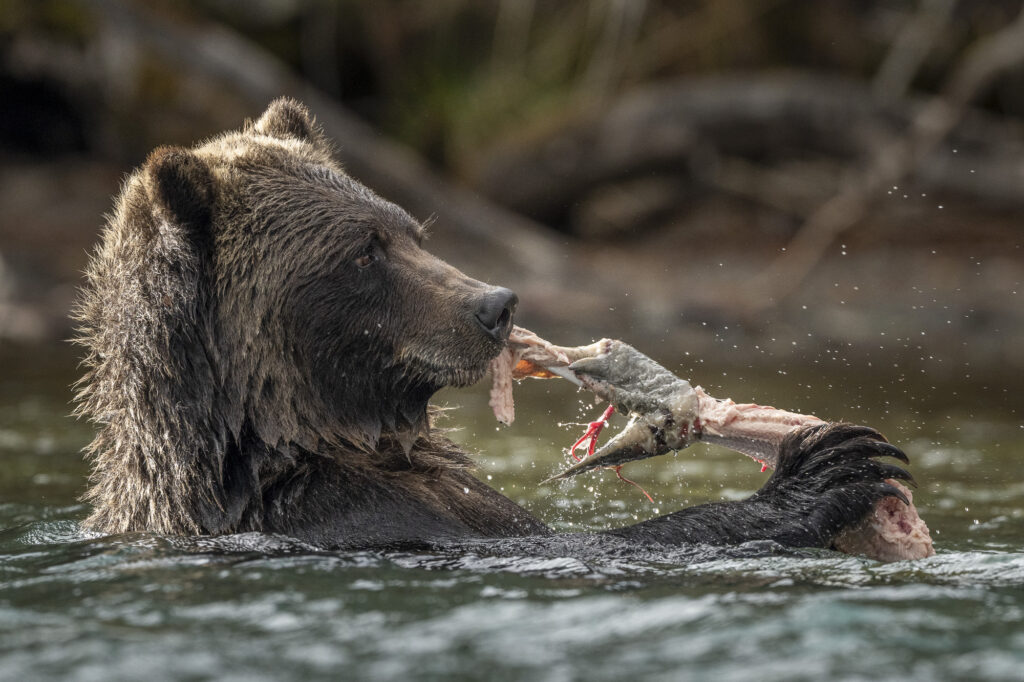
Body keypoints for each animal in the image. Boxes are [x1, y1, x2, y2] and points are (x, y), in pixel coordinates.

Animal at [73, 98, 915, 554]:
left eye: (409, 228)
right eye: (362, 251)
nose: (495, 304)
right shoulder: (354, 516)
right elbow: (588, 548)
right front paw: (833, 466)